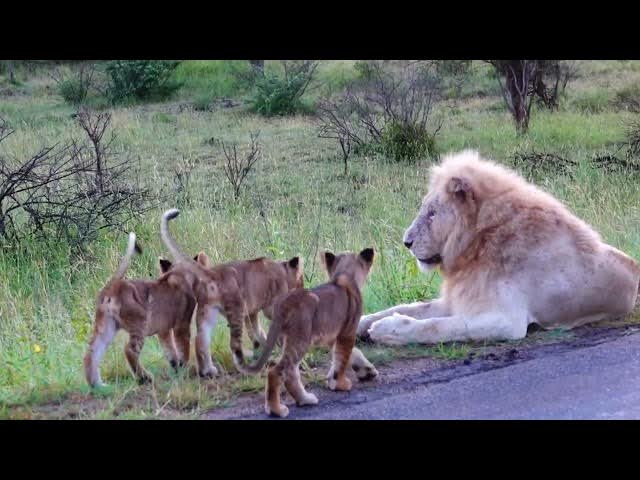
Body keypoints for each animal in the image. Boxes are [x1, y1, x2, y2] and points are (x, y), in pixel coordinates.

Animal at [235, 248, 375, 418]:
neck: (345, 274)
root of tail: (285, 303)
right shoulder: (347, 332)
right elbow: (343, 358)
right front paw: (340, 384)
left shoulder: (332, 335)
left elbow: (345, 354)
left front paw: (363, 371)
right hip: (301, 340)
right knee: (277, 370)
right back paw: (277, 409)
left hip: (290, 340)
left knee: (291, 373)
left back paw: (304, 399)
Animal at [358, 150, 640, 345]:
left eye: (432, 213)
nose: (406, 242)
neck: (477, 244)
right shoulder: (461, 298)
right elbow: (413, 308)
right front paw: (362, 322)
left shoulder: (506, 320)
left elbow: (438, 326)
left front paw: (386, 329)